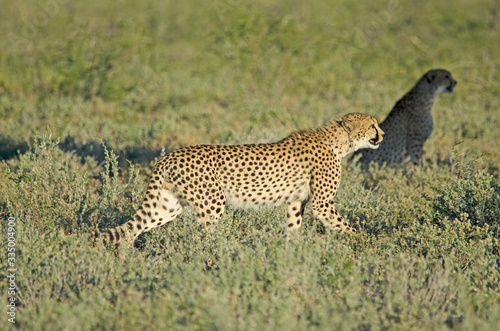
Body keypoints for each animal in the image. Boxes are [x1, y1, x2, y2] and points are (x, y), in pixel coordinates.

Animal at [93, 113, 382, 245]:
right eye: (372, 125)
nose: (383, 134)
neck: (340, 142)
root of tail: (170, 155)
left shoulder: (295, 202)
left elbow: (292, 228)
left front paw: (292, 253)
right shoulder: (322, 204)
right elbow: (346, 226)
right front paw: (365, 244)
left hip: (167, 205)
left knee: (133, 228)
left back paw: (125, 257)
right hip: (212, 203)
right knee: (205, 235)